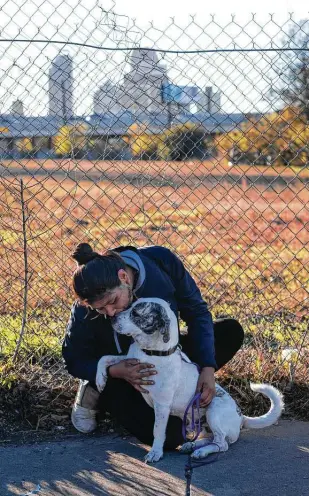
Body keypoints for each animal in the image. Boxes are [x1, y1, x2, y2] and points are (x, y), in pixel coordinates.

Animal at [95, 296, 282, 464]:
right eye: (129, 305)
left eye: (136, 313)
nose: (111, 318)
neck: (153, 353)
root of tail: (241, 416)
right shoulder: (128, 360)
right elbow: (104, 358)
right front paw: (100, 380)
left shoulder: (162, 405)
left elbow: (158, 430)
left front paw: (155, 452)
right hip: (202, 424)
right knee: (211, 438)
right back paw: (191, 445)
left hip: (214, 410)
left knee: (222, 444)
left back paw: (201, 452)